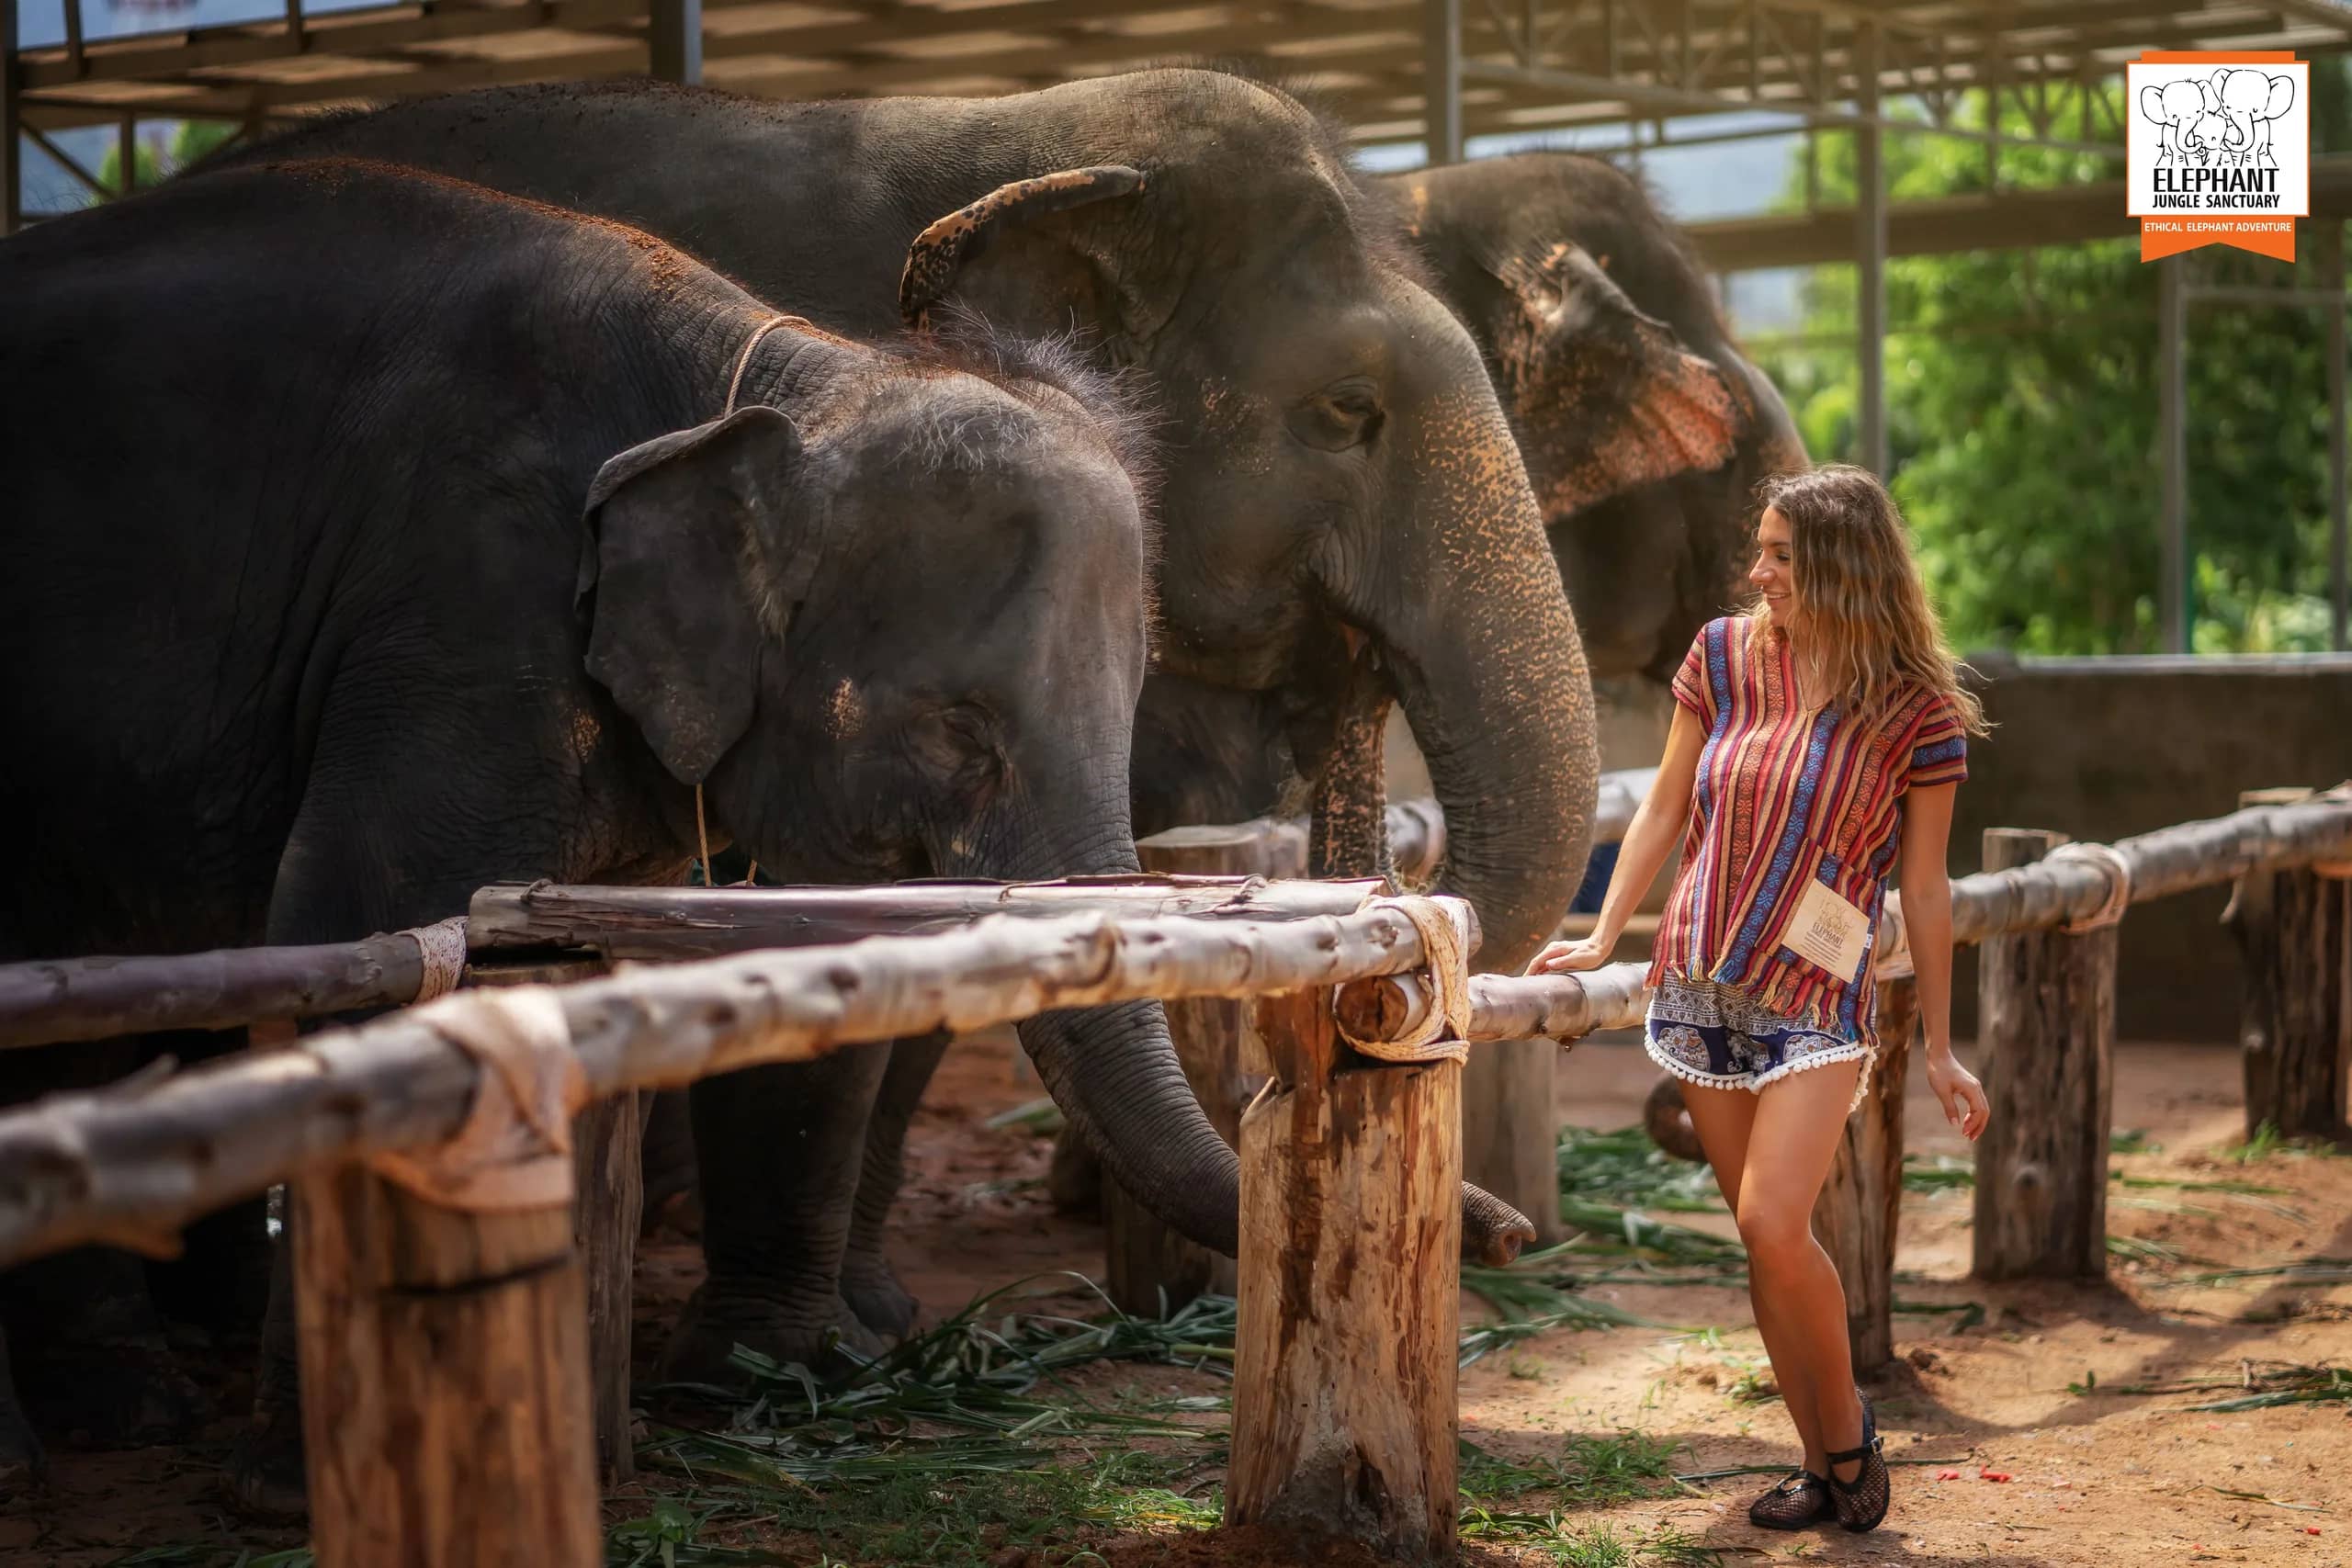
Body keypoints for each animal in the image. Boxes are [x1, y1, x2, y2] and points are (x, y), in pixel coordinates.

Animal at [0, 156, 1176, 1502]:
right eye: (958, 728)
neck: (787, 380)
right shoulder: (465, 616)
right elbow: (364, 921)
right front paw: (315, 1483)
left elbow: (796, 957)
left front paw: (761, 1386)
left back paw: (121, 1404)